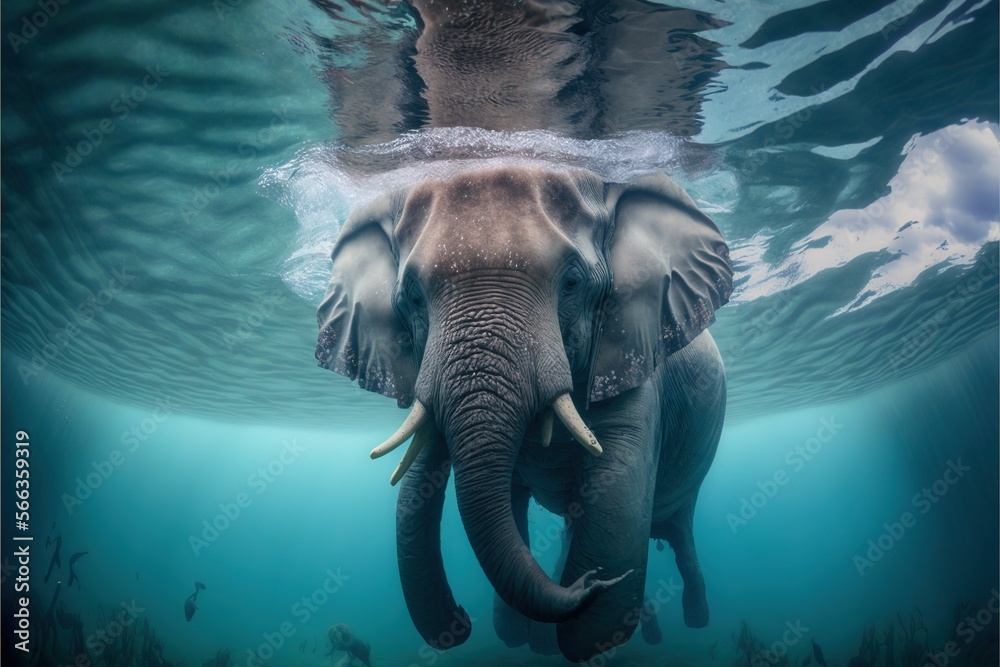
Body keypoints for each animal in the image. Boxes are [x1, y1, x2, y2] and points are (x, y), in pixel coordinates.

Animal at [316, 165, 732, 662]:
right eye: (412, 300)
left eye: (572, 284)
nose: (460, 622)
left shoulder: (634, 351)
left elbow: (616, 485)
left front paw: (587, 633)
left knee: (679, 531)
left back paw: (692, 617)